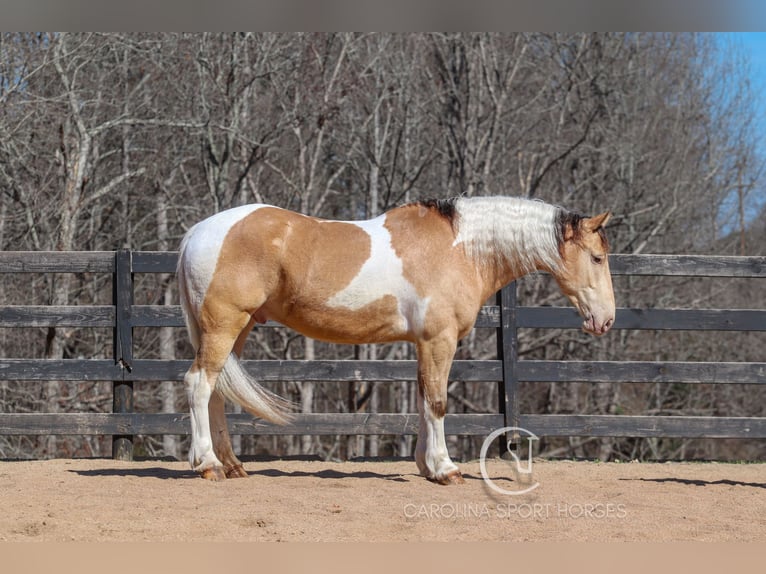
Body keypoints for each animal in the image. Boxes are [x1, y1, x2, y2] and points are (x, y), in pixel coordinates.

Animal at [177, 196, 616, 484]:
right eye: (597, 258)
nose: (607, 320)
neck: (459, 249)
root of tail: (197, 232)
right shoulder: (439, 341)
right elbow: (437, 403)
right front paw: (446, 469)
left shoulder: (424, 344)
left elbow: (423, 400)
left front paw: (426, 466)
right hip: (224, 326)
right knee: (199, 384)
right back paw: (208, 465)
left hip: (238, 330)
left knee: (217, 391)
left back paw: (233, 466)